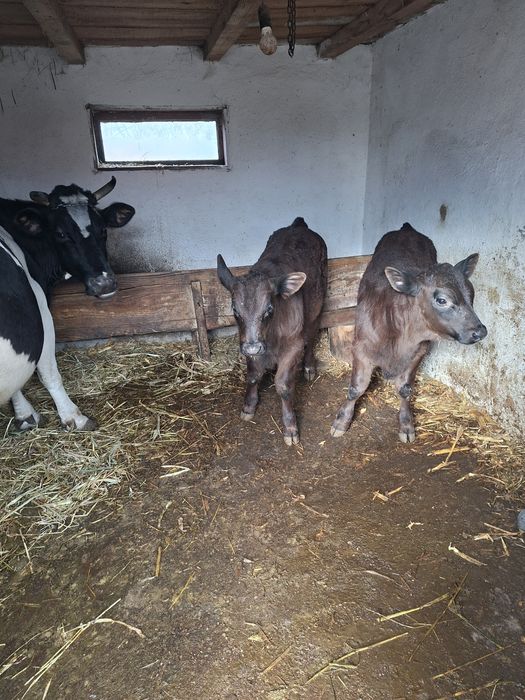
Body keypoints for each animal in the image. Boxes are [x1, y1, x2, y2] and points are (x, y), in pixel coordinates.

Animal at [0, 177, 135, 430]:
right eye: (61, 234)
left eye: (103, 230)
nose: (104, 283)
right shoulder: (40, 308)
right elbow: (48, 371)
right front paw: (74, 416)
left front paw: (24, 415)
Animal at [217, 217, 328, 446]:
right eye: (235, 310)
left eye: (269, 309)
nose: (253, 347)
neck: (271, 336)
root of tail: (298, 225)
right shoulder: (247, 343)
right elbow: (252, 375)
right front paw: (249, 405)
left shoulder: (293, 345)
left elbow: (283, 385)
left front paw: (290, 427)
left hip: (317, 305)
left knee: (312, 334)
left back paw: (309, 367)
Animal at [331, 222, 487, 443]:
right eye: (442, 300)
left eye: (471, 295)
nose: (480, 332)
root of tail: (407, 228)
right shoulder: (360, 348)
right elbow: (356, 388)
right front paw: (341, 422)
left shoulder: (419, 351)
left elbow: (405, 389)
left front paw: (406, 425)